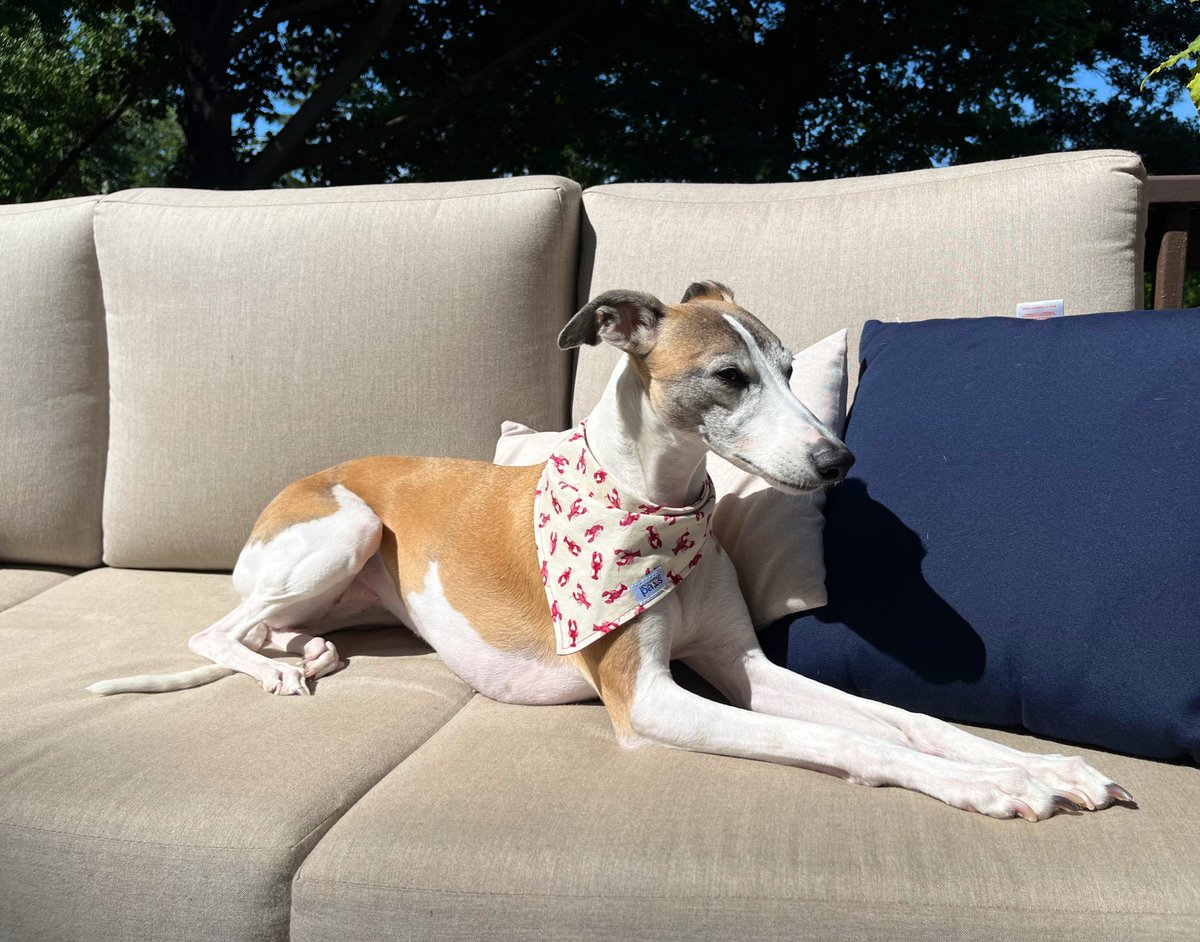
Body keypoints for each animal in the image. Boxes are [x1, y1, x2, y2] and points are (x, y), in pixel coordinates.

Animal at [87, 280, 1132, 825]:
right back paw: (275, 670)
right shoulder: (651, 700)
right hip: (340, 531)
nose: (839, 460)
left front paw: (1043, 766)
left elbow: (896, 717)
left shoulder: (742, 666)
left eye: (789, 368)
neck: (655, 507)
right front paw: (992, 787)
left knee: (264, 629)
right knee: (212, 633)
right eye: (728, 376)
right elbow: (845, 739)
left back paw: (303, 653)